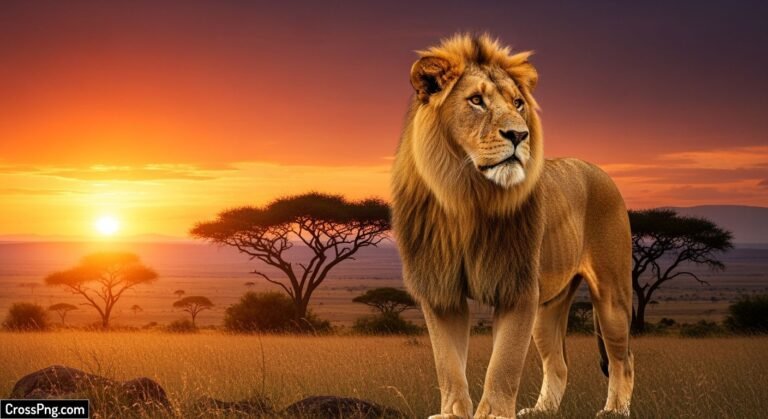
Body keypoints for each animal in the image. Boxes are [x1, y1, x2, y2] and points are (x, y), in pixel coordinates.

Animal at [391, 33, 635, 418]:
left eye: (519, 104)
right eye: (476, 100)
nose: (519, 135)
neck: (466, 196)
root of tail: (599, 170)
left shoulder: (517, 288)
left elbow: (503, 364)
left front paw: (492, 414)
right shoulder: (441, 290)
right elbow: (448, 364)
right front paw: (453, 412)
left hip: (611, 294)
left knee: (623, 359)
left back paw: (615, 410)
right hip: (548, 308)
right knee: (559, 363)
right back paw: (542, 410)